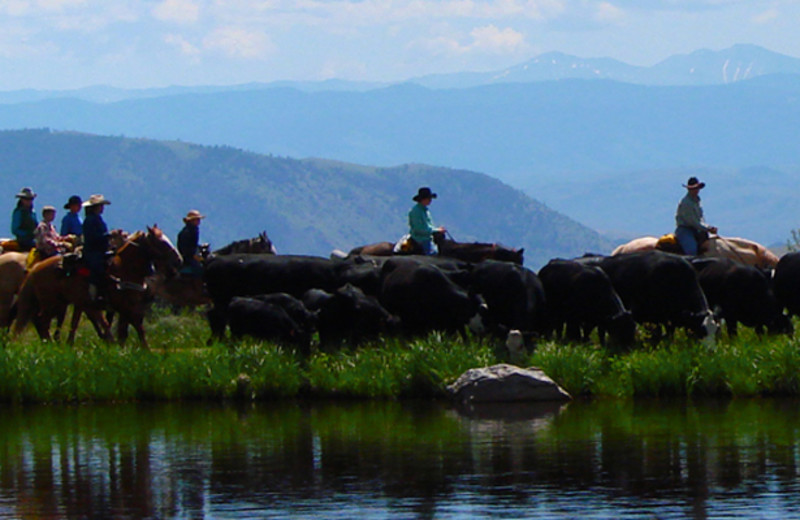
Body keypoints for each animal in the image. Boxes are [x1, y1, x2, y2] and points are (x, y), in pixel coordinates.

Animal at [12, 225, 181, 348]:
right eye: (161, 243)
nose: (179, 260)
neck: (125, 268)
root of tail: (35, 269)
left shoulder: (117, 308)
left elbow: (124, 329)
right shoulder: (126, 306)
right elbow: (136, 327)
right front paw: (144, 349)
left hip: (59, 303)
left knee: (41, 321)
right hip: (52, 303)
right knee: (42, 321)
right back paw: (50, 344)